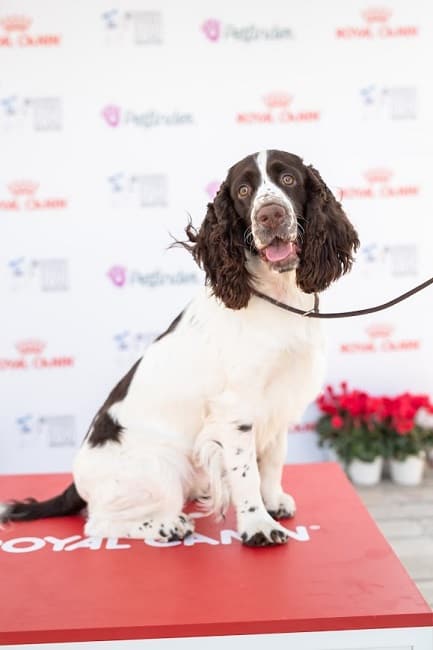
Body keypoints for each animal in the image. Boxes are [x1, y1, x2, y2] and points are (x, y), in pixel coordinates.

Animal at [0, 149, 358, 544]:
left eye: (289, 179)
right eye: (244, 190)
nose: (270, 215)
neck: (278, 297)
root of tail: (76, 483)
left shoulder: (280, 401)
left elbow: (273, 460)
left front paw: (274, 501)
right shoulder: (236, 410)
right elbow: (246, 473)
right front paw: (258, 526)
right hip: (162, 466)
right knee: (98, 523)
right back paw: (168, 525)